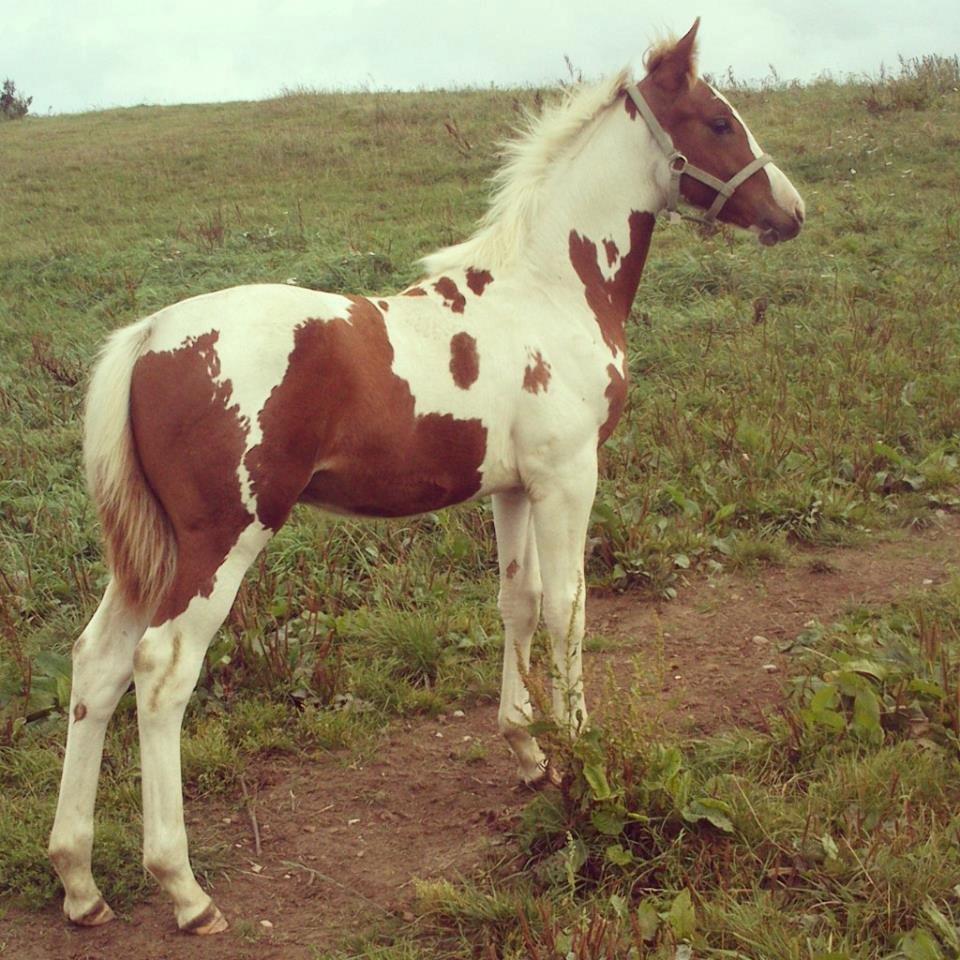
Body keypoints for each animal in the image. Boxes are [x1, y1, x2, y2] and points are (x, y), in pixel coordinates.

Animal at [50, 22, 804, 932]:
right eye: (719, 121)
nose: (792, 211)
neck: (550, 289)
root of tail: (147, 337)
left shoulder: (512, 487)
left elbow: (518, 603)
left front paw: (529, 751)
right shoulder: (568, 478)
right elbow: (569, 607)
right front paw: (583, 749)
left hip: (147, 552)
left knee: (97, 666)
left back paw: (80, 883)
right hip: (219, 541)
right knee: (161, 673)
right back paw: (186, 891)